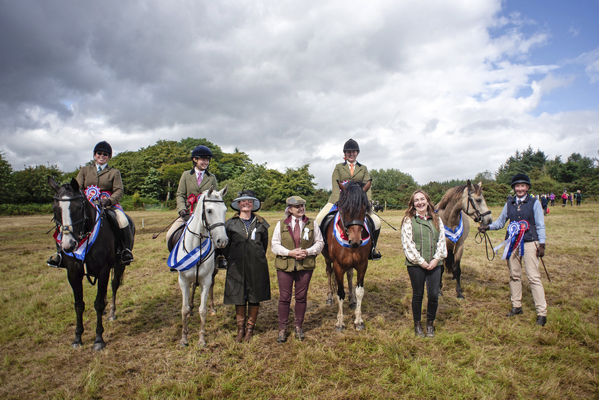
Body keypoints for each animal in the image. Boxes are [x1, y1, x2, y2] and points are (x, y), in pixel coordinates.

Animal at [49, 177, 135, 350]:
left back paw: (111, 313)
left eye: (78, 207)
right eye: (55, 208)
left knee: (114, 286)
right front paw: (77, 338)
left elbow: (98, 303)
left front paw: (98, 339)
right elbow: (78, 304)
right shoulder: (73, 273)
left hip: (119, 265)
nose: (68, 245)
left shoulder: (103, 270)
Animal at [324, 181, 370, 332]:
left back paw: (352, 300)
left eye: (364, 208)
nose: (355, 241)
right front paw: (340, 322)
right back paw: (329, 297)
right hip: (328, 259)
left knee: (349, 276)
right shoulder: (338, 266)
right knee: (328, 272)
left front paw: (359, 321)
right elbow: (340, 293)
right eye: (344, 209)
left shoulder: (362, 265)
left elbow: (360, 291)